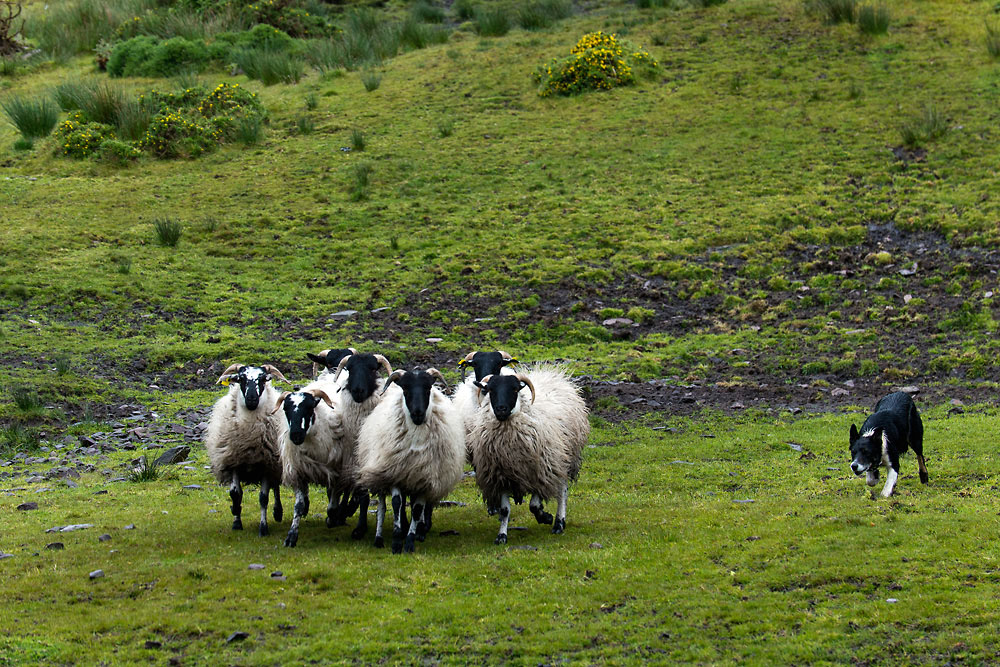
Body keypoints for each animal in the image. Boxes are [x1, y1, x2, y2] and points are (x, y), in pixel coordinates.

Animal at [204, 363, 289, 536]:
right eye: (240, 378)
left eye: (263, 379)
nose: (251, 399)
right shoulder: (234, 462)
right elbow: (235, 495)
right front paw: (236, 519)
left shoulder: (266, 465)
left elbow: (263, 498)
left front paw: (263, 528)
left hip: (276, 463)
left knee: (275, 487)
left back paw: (278, 512)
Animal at [356, 368, 465, 554]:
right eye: (405, 389)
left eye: (428, 388)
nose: (418, 413)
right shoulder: (395, 472)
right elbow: (396, 504)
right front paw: (396, 541)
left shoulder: (424, 479)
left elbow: (417, 509)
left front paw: (410, 541)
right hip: (383, 472)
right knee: (383, 507)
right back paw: (381, 537)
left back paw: (418, 530)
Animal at [468, 365, 589, 545]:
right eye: (490, 390)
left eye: (514, 389)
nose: (501, 409)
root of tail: (551, 374)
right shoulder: (500, 477)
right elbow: (504, 510)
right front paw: (501, 536)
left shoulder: (541, 471)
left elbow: (534, 505)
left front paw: (545, 517)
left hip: (563, 459)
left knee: (562, 492)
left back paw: (559, 523)